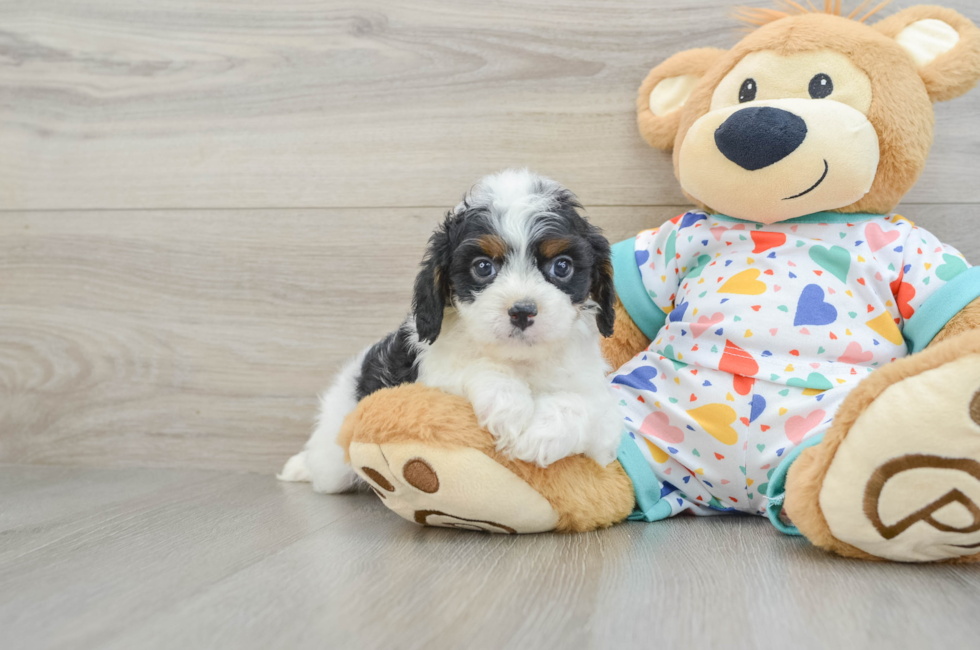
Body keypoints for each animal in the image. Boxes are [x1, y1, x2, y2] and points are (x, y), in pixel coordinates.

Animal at [280, 168, 620, 492]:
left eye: (562, 266)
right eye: (483, 267)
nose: (522, 311)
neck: (520, 361)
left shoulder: (601, 424)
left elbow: (587, 406)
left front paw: (540, 435)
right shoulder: (430, 378)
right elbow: (474, 367)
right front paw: (509, 408)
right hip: (334, 457)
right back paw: (300, 467)